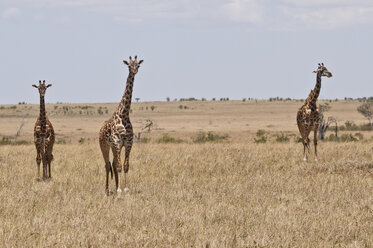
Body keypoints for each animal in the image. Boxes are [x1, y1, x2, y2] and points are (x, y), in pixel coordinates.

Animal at [98, 56, 143, 196]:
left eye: (138, 65)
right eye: (129, 66)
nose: (134, 71)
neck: (124, 115)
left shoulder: (128, 143)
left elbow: (125, 165)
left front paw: (125, 189)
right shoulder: (117, 142)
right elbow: (118, 166)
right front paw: (119, 191)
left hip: (113, 147)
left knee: (112, 163)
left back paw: (115, 186)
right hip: (104, 145)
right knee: (107, 165)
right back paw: (107, 190)